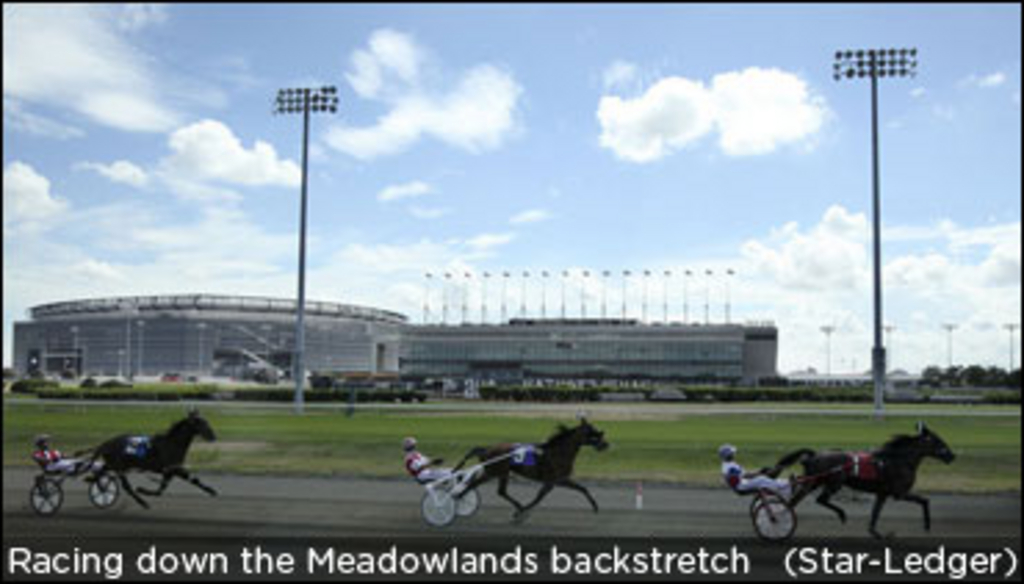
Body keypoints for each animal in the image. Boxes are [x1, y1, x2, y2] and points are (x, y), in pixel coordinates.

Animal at [83, 407, 218, 506]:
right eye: (200, 423)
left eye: (207, 421)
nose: (213, 436)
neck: (172, 443)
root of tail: (106, 443)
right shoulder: (173, 469)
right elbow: (160, 490)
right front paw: (142, 489)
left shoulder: (171, 470)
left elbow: (165, 488)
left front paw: (212, 491)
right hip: (119, 466)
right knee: (124, 485)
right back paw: (141, 502)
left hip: (116, 464)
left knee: (101, 471)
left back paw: (99, 485)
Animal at [450, 415, 606, 520]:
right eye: (592, 432)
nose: (605, 444)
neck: (558, 452)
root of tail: (486, 450)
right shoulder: (552, 481)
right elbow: (538, 498)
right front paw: (521, 513)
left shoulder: (561, 479)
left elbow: (582, 489)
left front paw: (595, 507)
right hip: (497, 472)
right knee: (488, 488)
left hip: (495, 472)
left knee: (488, 488)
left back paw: (459, 499)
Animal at [778, 418, 954, 536]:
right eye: (938, 440)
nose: (952, 456)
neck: (898, 460)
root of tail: (814, 455)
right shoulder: (899, 493)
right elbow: (925, 500)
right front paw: (927, 526)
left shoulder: (883, 494)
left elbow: (874, 517)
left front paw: (879, 534)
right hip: (834, 482)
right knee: (818, 500)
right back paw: (841, 514)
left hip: (814, 481)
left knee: (796, 501)